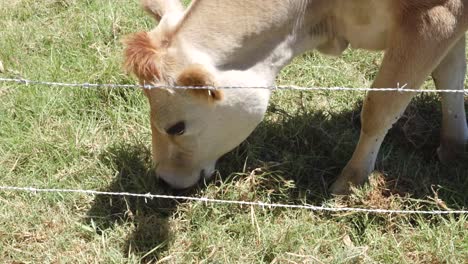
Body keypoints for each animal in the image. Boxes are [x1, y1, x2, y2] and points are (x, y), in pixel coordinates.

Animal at [123, 0, 468, 194]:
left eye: (176, 127)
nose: (164, 179)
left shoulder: (434, 17)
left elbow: (380, 107)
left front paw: (351, 180)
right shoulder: (449, 26)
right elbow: (449, 79)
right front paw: (454, 149)